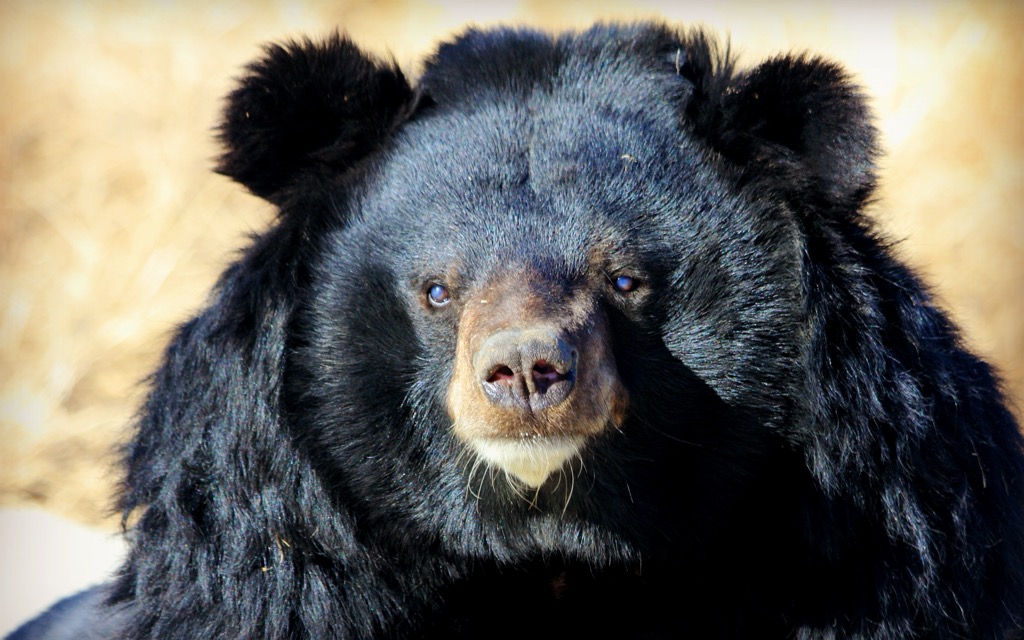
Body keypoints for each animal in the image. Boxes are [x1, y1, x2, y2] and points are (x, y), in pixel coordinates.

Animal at [8, 21, 1024, 640]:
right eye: (436, 290)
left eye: (627, 280)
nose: (527, 372)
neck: (551, 555)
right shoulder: (273, 549)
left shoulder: (868, 534)